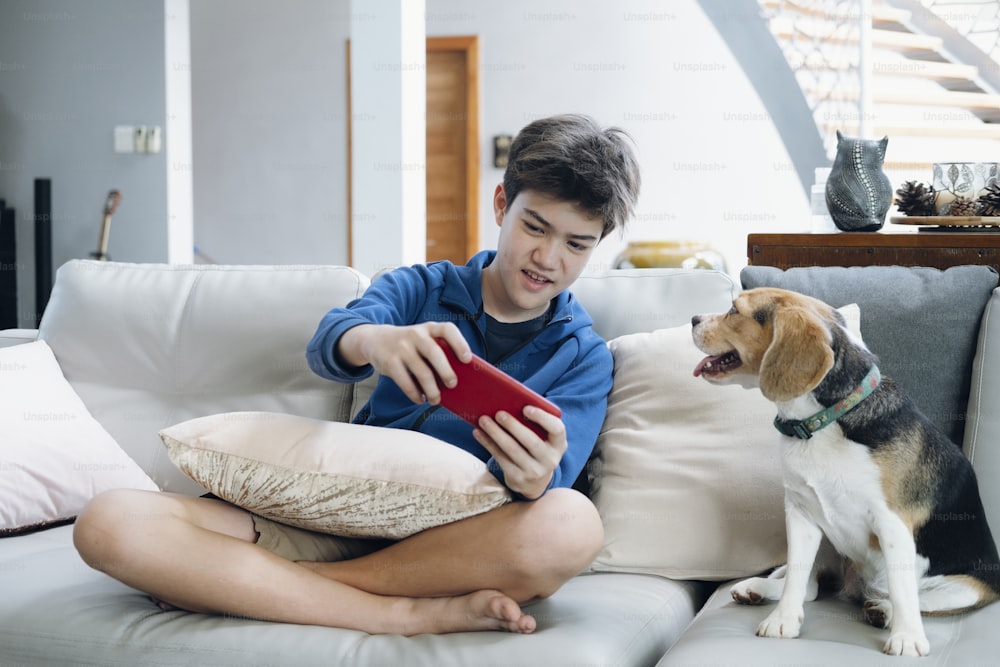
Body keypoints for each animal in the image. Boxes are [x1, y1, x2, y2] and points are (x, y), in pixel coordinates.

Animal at [692, 288, 996, 656]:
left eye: (734, 310)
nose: (692, 319)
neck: (826, 420)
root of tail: (856, 588)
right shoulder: (801, 514)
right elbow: (796, 578)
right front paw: (783, 620)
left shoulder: (892, 524)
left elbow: (903, 590)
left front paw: (907, 638)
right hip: (827, 540)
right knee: (810, 587)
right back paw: (759, 588)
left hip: (967, 588)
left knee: (909, 596)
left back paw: (884, 611)